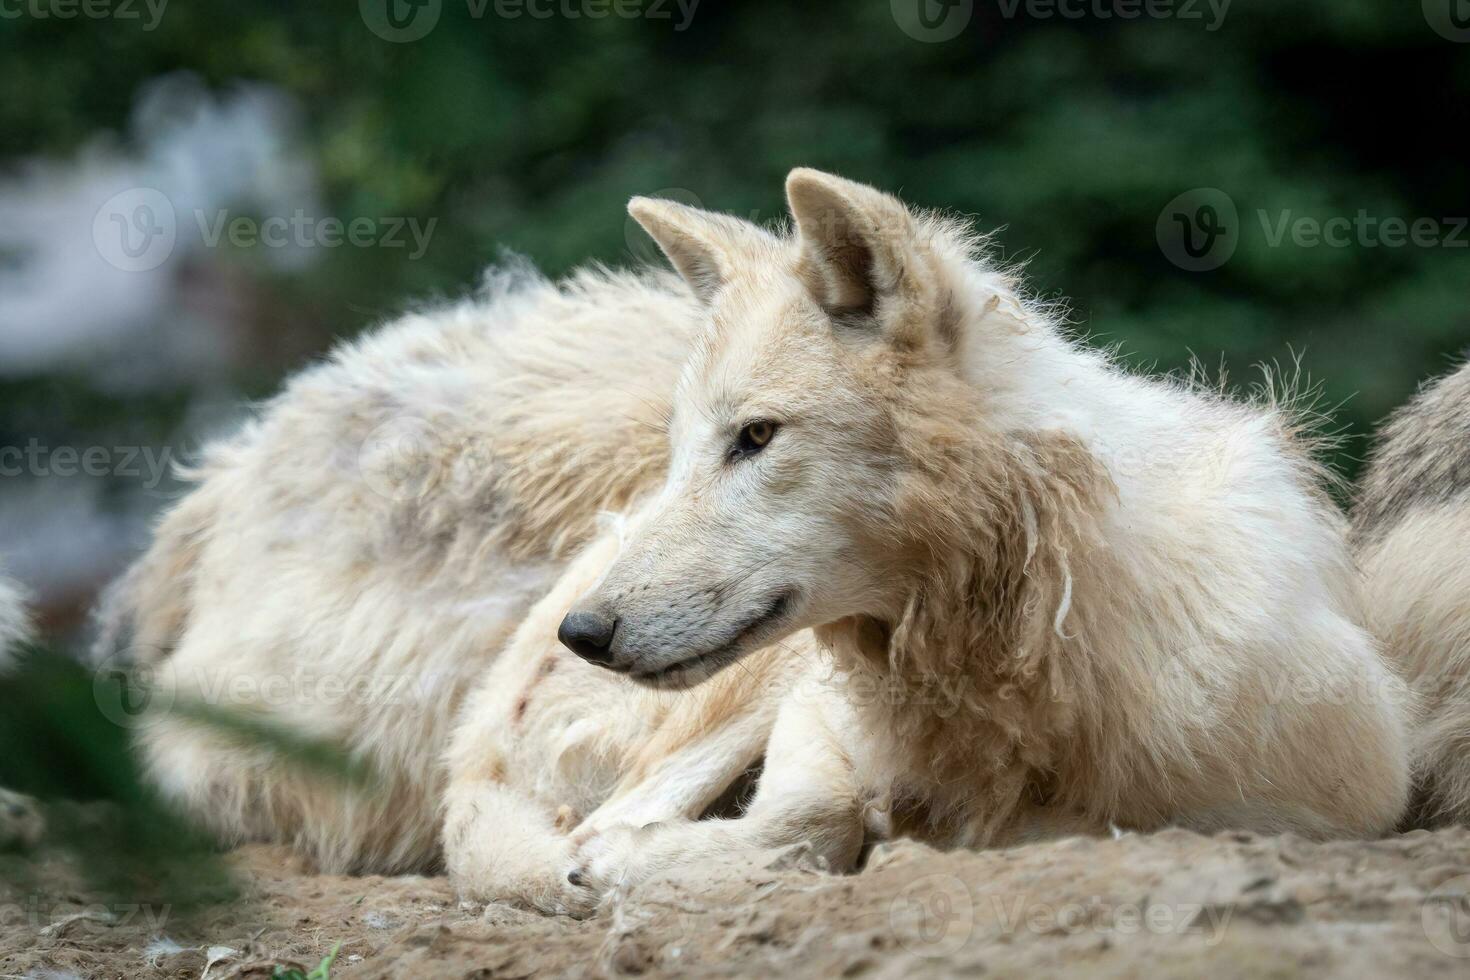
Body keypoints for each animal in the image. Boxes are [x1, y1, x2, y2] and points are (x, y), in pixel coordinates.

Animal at [97, 170, 1405, 922]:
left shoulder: (1319, 803)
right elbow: (790, 818)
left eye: (756, 436)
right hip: (732, 687)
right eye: (689, 444)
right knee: (597, 827)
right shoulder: (817, 718)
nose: (585, 630)